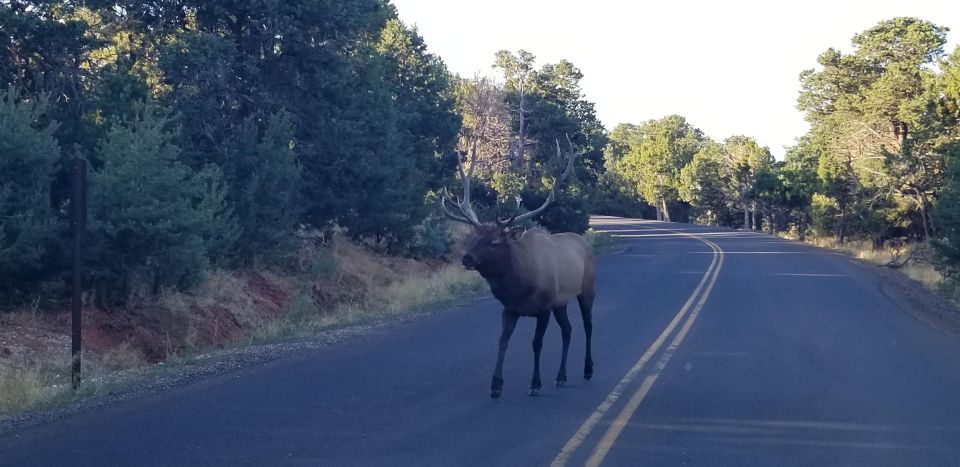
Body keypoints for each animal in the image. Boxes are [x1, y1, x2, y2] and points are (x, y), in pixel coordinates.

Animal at [442, 139, 592, 398]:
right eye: (473, 237)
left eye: (494, 242)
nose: (466, 258)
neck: (521, 285)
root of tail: (585, 242)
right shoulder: (510, 309)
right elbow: (502, 342)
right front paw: (495, 386)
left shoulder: (544, 307)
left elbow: (536, 344)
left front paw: (535, 383)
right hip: (561, 302)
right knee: (568, 329)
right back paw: (561, 376)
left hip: (587, 290)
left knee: (587, 326)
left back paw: (587, 370)